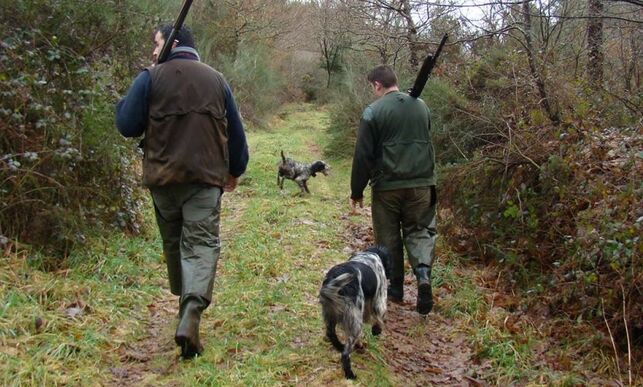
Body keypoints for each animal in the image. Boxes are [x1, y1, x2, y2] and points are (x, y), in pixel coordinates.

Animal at [320, 247, 390, 380]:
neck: (370, 255)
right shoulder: (379, 300)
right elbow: (379, 318)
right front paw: (376, 331)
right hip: (354, 320)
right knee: (346, 354)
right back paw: (350, 374)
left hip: (330, 313)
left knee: (331, 334)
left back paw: (340, 346)